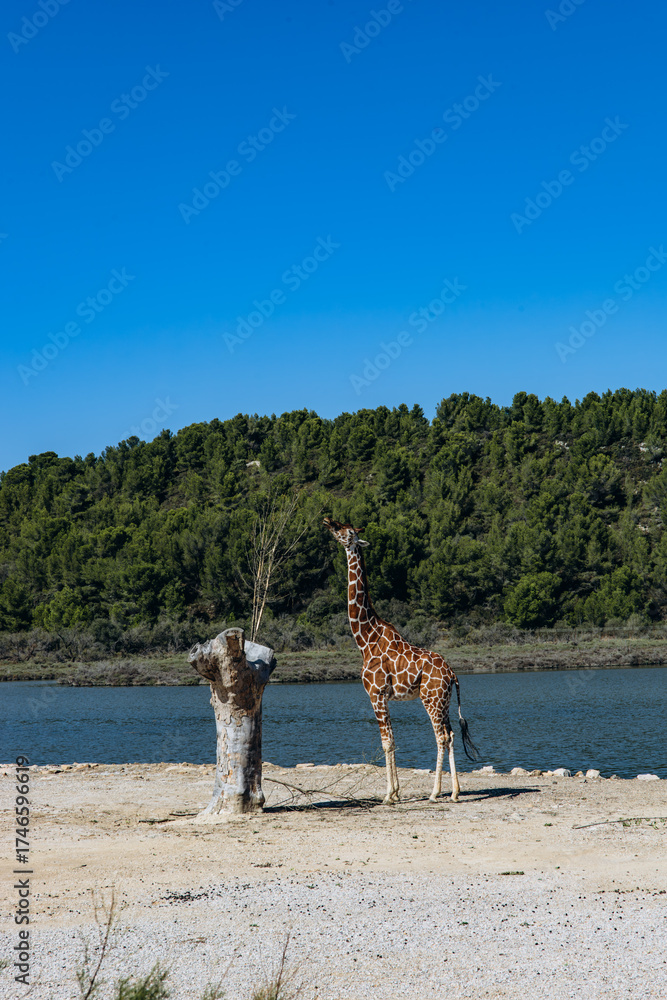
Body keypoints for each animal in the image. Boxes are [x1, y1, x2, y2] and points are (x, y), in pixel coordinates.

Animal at [324, 517, 479, 803]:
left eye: (345, 531)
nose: (328, 521)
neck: (365, 639)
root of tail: (453, 674)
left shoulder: (375, 693)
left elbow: (387, 742)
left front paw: (388, 795)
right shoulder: (384, 696)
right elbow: (393, 740)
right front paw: (396, 793)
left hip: (431, 699)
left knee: (441, 737)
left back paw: (435, 792)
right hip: (443, 701)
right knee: (451, 734)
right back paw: (455, 792)